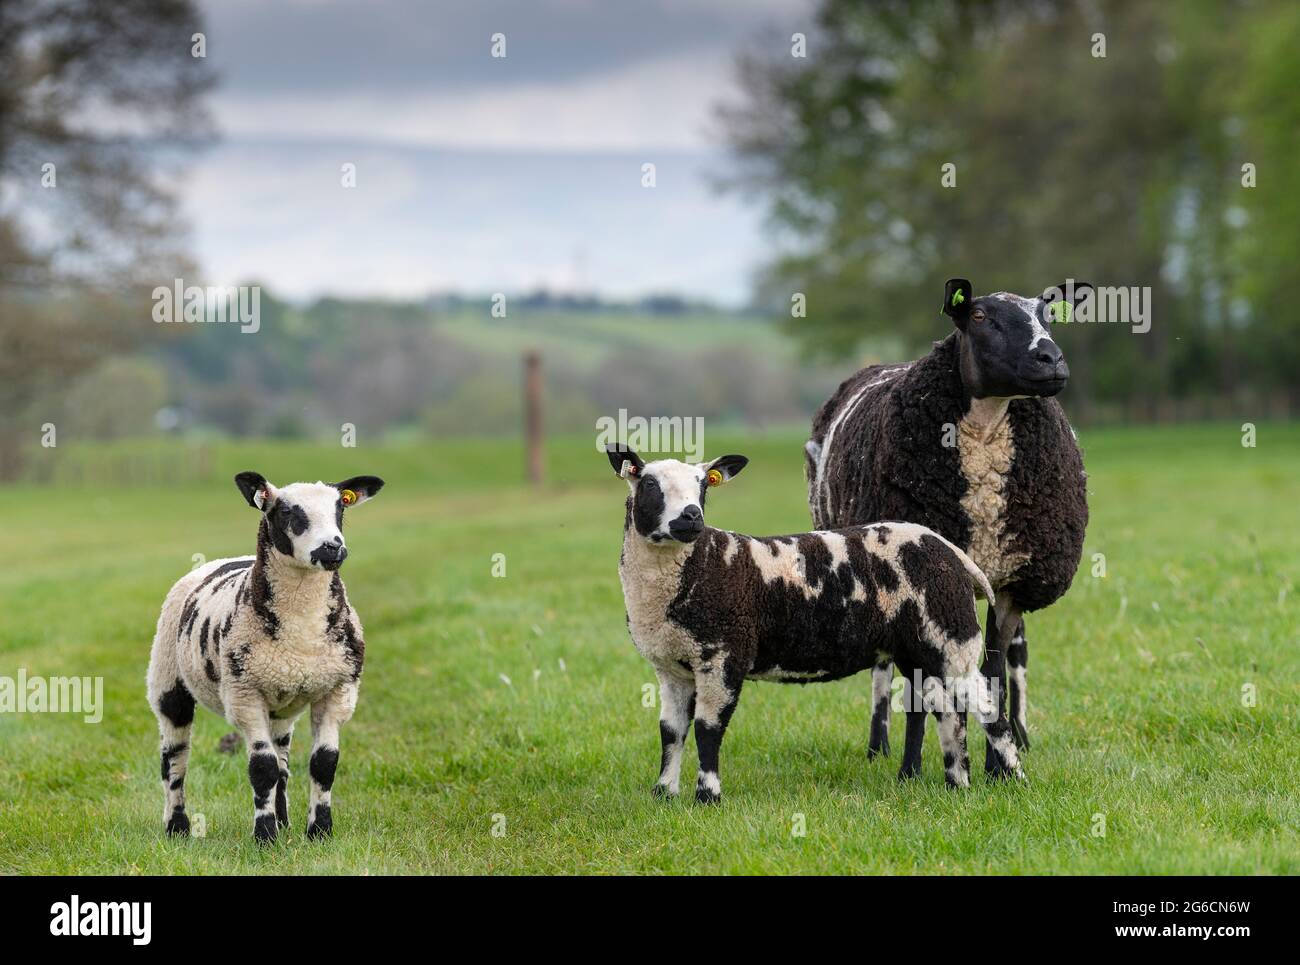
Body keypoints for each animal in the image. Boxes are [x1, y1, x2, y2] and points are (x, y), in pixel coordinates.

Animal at [147, 473, 382, 842]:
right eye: (286, 512)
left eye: (340, 508)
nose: (332, 548)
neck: (301, 634)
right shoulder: (245, 694)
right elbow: (262, 768)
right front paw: (265, 836)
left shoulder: (339, 689)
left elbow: (323, 764)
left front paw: (319, 831)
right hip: (167, 675)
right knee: (174, 759)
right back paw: (177, 827)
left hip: (281, 702)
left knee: (282, 759)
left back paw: (284, 820)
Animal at [605, 444, 1013, 801]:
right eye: (649, 484)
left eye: (703, 485)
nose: (691, 516)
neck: (702, 564)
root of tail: (950, 550)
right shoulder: (671, 666)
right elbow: (671, 732)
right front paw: (663, 793)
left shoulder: (723, 655)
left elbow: (708, 730)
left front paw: (708, 796)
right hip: (918, 644)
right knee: (939, 709)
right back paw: (946, 781)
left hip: (952, 632)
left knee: (987, 703)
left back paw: (1011, 778)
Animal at [806, 275, 1092, 775]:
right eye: (979, 316)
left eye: (1048, 315)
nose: (1051, 358)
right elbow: (919, 686)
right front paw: (912, 770)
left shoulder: (1012, 583)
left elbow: (995, 674)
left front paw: (999, 766)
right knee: (884, 669)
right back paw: (879, 746)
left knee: (1011, 659)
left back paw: (1016, 736)